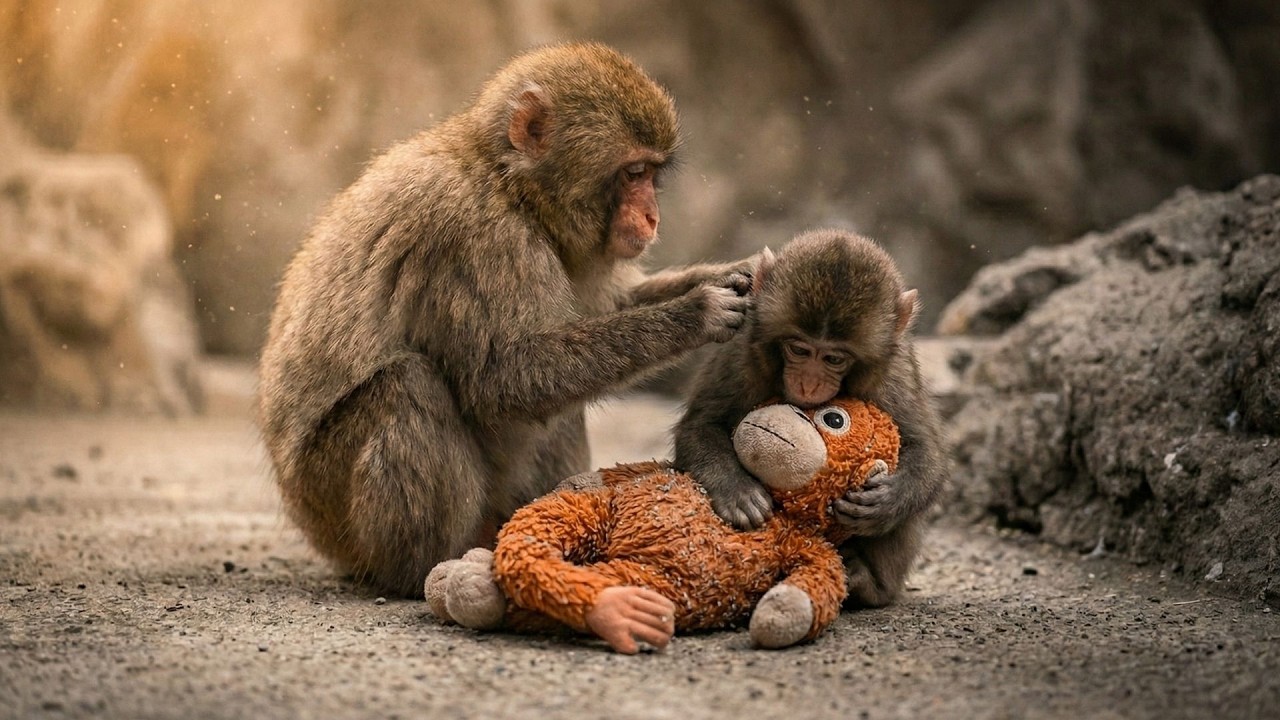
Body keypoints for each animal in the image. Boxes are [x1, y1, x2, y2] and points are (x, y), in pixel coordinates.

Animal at [257, 42, 757, 598]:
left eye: (651, 173)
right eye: (632, 174)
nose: (652, 218)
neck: (509, 183)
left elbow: (600, 311)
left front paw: (736, 272)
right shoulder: (474, 236)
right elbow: (503, 380)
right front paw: (697, 312)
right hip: (331, 509)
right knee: (408, 385)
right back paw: (426, 567)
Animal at [673, 228, 946, 608]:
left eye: (833, 358)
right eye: (799, 349)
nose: (809, 383)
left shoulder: (893, 371)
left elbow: (924, 446)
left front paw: (888, 502)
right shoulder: (744, 352)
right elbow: (700, 424)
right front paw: (737, 490)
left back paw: (869, 584)